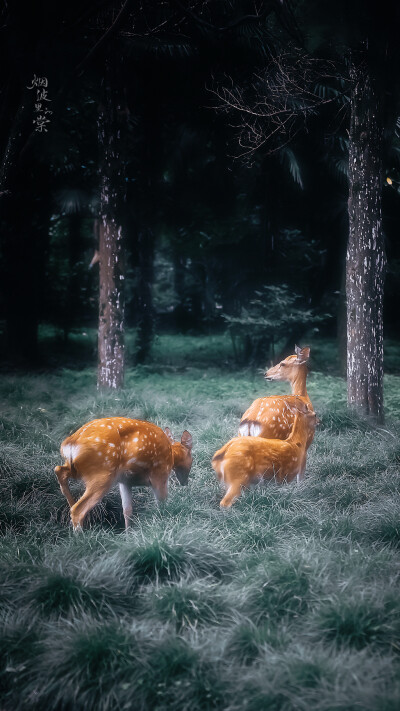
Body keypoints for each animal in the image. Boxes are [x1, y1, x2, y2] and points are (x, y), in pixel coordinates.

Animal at [55, 420, 194, 532]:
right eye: (192, 458)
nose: (185, 482)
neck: (171, 455)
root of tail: (71, 442)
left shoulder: (125, 481)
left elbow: (127, 510)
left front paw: (128, 535)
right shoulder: (160, 474)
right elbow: (162, 503)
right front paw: (164, 524)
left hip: (78, 469)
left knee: (59, 470)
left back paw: (71, 506)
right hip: (102, 473)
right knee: (78, 510)